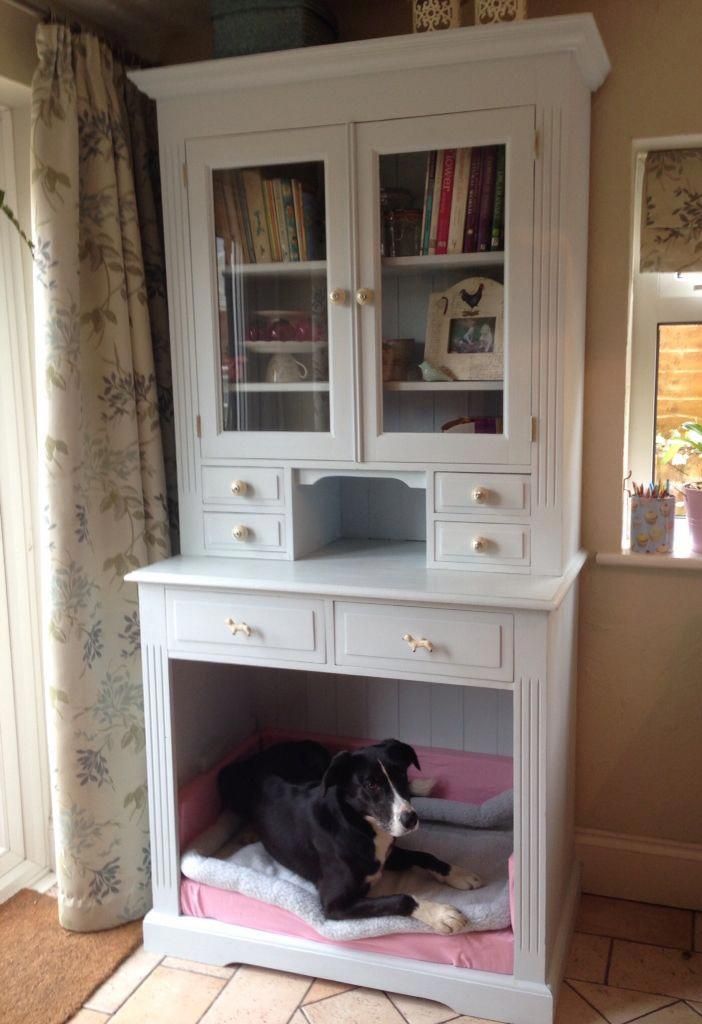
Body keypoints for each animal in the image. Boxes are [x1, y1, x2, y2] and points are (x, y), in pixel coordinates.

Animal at [220, 737, 483, 937]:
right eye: (371, 784)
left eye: (401, 774)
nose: (410, 819)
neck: (357, 823)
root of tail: (263, 752)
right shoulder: (334, 904)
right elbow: (400, 899)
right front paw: (440, 914)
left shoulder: (387, 855)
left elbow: (424, 855)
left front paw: (457, 873)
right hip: (228, 778)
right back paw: (248, 831)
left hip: (320, 759)